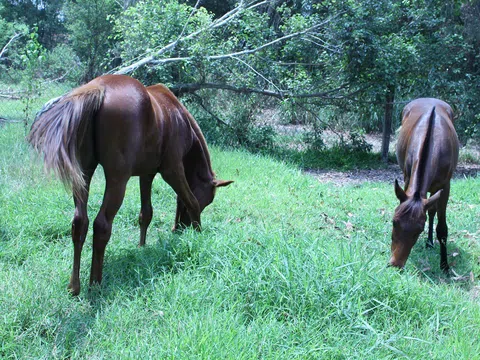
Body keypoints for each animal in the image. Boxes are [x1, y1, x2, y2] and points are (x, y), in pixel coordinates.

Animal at [27, 74, 233, 296]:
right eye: (208, 200)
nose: (182, 227)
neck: (178, 116)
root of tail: (98, 88)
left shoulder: (147, 174)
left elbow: (146, 213)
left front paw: (141, 247)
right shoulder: (172, 170)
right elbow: (191, 201)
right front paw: (198, 234)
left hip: (84, 174)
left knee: (79, 222)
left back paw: (74, 286)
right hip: (118, 179)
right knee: (101, 225)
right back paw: (95, 283)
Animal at [388, 97, 460, 272]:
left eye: (419, 229)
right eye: (394, 221)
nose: (395, 264)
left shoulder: (445, 186)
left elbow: (442, 228)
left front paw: (445, 265)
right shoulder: (407, 178)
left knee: (432, 211)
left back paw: (430, 242)